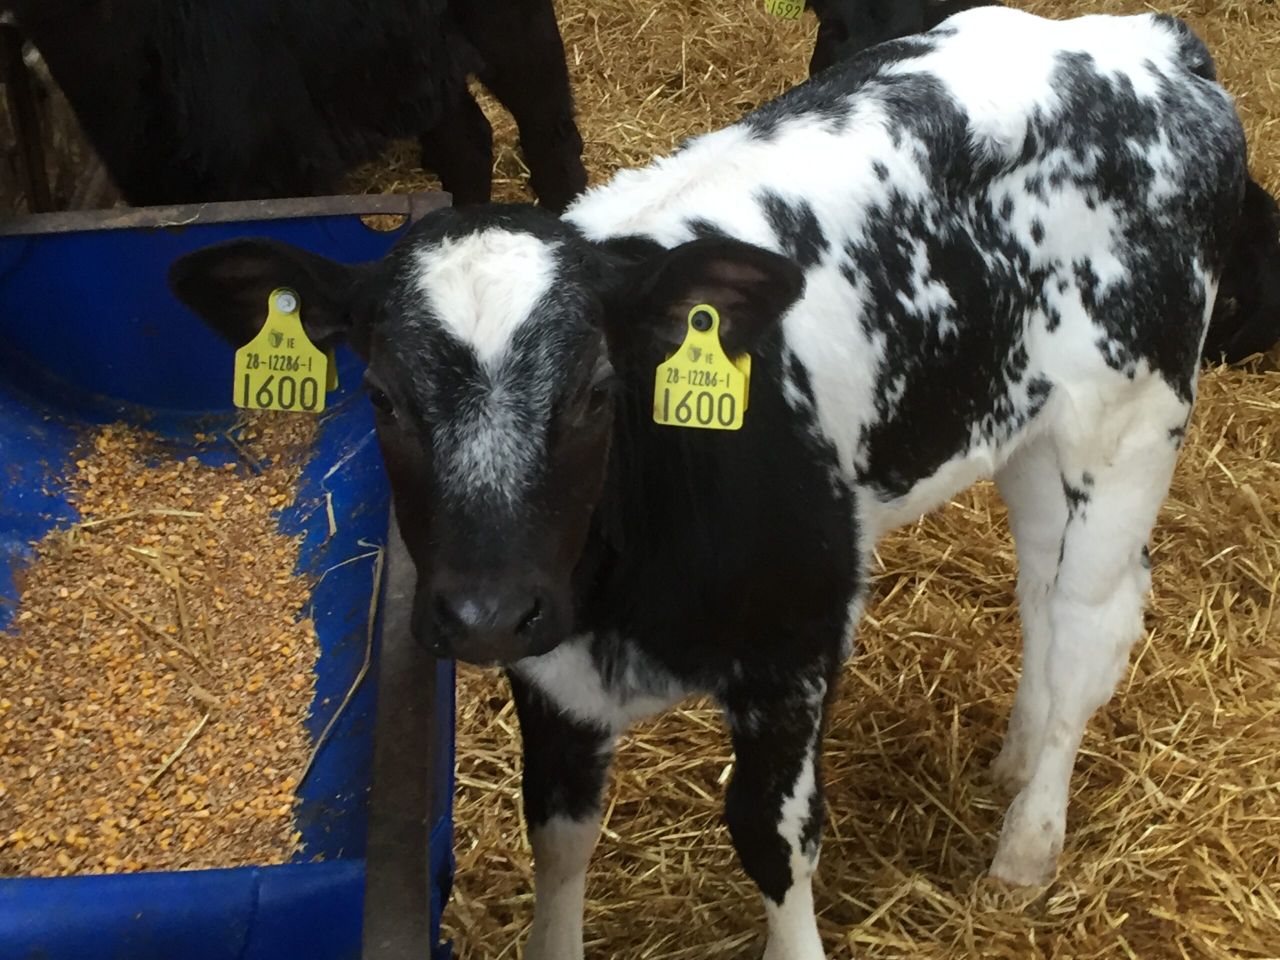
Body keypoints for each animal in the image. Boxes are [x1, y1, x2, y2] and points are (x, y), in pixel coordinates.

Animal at [169, 9, 1248, 958]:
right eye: (381, 395)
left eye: (597, 390)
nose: (483, 612)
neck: (623, 600)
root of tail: (1145, 43)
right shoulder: (548, 672)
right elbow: (555, 836)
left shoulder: (797, 646)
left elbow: (770, 840)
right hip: (1023, 433)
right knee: (1039, 602)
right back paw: (1014, 761)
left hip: (1125, 426)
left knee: (1087, 625)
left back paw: (1025, 846)